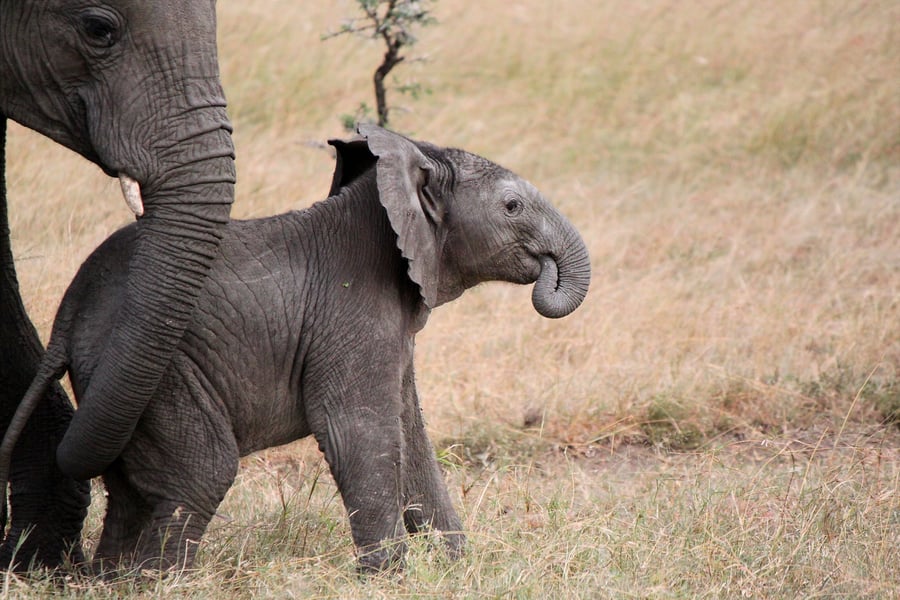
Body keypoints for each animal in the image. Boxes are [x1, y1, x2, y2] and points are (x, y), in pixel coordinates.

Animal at [0, 125, 590, 573]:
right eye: (512, 206)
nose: (547, 270)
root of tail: (69, 312)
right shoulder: (350, 316)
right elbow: (359, 431)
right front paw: (391, 578)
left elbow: (410, 431)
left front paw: (455, 569)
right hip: (163, 372)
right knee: (201, 472)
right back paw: (155, 582)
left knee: (131, 488)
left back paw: (113, 578)